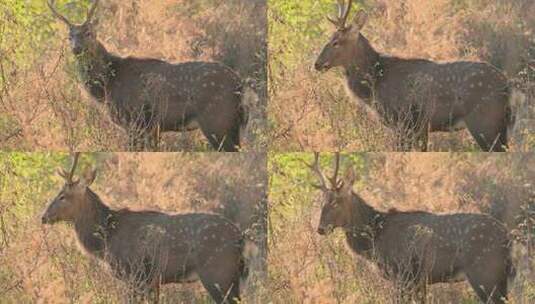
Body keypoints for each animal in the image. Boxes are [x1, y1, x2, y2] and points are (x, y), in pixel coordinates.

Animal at [42, 154, 249, 304]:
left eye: (62, 196)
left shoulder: (134, 273)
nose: (43, 217)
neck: (106, 241)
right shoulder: (150, 281)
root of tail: (240, 238)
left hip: (217, 273)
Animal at [49, 0, 252, 152]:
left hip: (216, 120)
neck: (108, 85)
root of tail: (239, 85)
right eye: (69, 37)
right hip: (230, 125)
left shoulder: (135, 120)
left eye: (89, 33)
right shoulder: (150, 127)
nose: (76, 48)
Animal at [308, 153, 516, 304]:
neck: (375, 239)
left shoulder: (403, 273)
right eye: (322, 202)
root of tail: (507, 238)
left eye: (336, 202)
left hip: (485, 273)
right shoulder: (417, 281)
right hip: (498, 278)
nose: (321, 228)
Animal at [316, 0, 516, 152]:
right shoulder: (418, 127)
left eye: (336, 42)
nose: (316, 63)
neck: (375, 84)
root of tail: (507, 86)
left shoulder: (403, 120)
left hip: (485, 122)